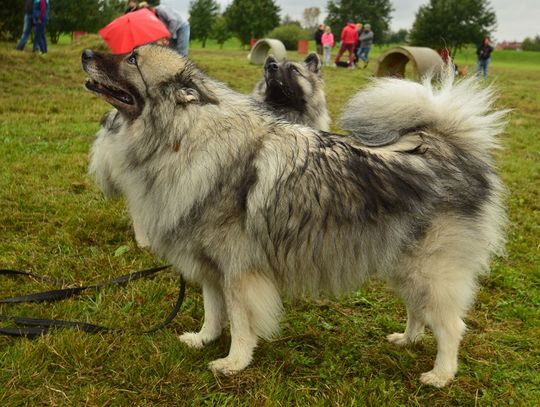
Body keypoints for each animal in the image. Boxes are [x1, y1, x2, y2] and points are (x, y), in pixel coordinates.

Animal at [83, 45, 506, 388]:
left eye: (132, 59)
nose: (86, 53)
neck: (182, 136)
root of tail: (446, 149)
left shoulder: (239, 270)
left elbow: (240, 321)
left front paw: (233, 362)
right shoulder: (211, 268)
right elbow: (213, 311)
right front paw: (203, 340)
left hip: (430, 271)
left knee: (451, 326)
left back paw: (441, 375)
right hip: (403, 265)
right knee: (418, 310)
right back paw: (407, 339)